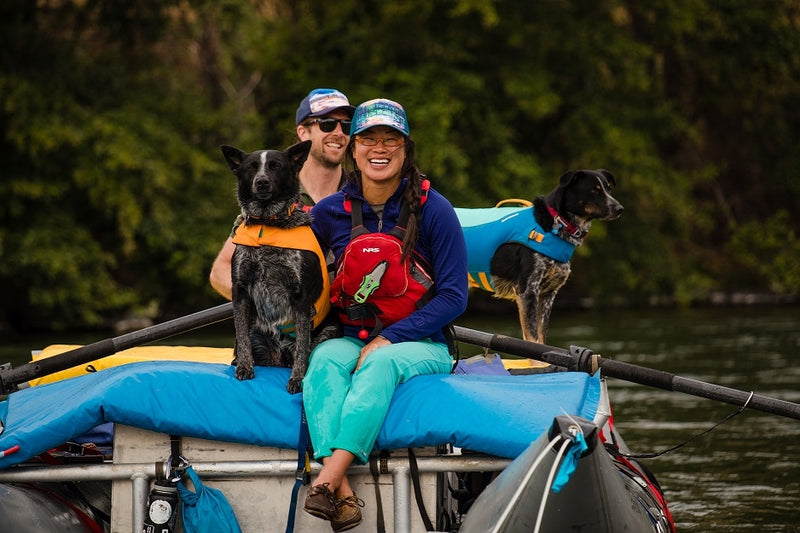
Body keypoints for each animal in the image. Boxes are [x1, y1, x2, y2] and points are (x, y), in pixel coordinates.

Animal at [220, 143, 336, 392]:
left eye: (276, 166)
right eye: (251, 167)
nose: (261, 182)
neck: (268, 223)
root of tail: (279, 357)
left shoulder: (301, 296)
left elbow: (302, 346)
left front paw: (297, 378)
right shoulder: (240, 290)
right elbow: (241, 336)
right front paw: (244, 366)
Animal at [456, 171, 624, 344]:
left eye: (608, 189)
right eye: (594, 190)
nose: (620, 209)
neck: (557, 224)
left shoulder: (547, 295)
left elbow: (541, 338)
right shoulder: (527, 291)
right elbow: (532, 340)